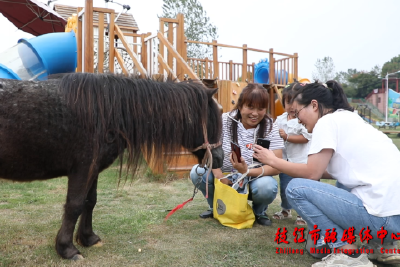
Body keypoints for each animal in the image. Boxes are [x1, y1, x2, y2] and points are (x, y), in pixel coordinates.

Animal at [0, 73, 222, 260]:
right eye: (213, 120)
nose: (219, 159)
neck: (104, 111)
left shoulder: (92, 170)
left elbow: (90, 202)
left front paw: (88, 238)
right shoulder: (82, 169)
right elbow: (74, 205)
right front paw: (67, 249)